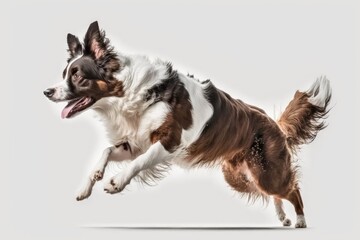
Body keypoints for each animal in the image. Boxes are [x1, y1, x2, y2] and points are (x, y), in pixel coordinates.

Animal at [44, 21, 332, 228]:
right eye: (64, 74)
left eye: (77, 75)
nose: (46, 92)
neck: (130, 93)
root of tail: (274, 124)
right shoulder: (135, 142)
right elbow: (106, 151)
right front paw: (89, 182)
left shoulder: (169, 141)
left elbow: (139, 162)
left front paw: (116, 182)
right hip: (239, 176)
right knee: (274, 193)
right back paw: (283, 217)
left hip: (267, 171)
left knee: (291, 188)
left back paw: (301, 220)